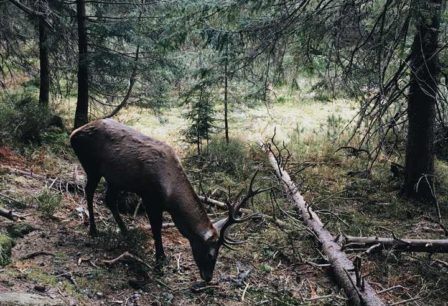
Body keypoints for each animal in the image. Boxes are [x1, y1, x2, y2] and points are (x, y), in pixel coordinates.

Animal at [68, 119, 260, 282]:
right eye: (211, 254)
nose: (208, 277)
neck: (171, 195)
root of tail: (73, 134)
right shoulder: (150, 197)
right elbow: (156, 228)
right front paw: (160, 259)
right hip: (92, 166)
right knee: (89, 191)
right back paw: (93, 230)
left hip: (115, 179)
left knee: (109, 199)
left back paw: (125, 231)